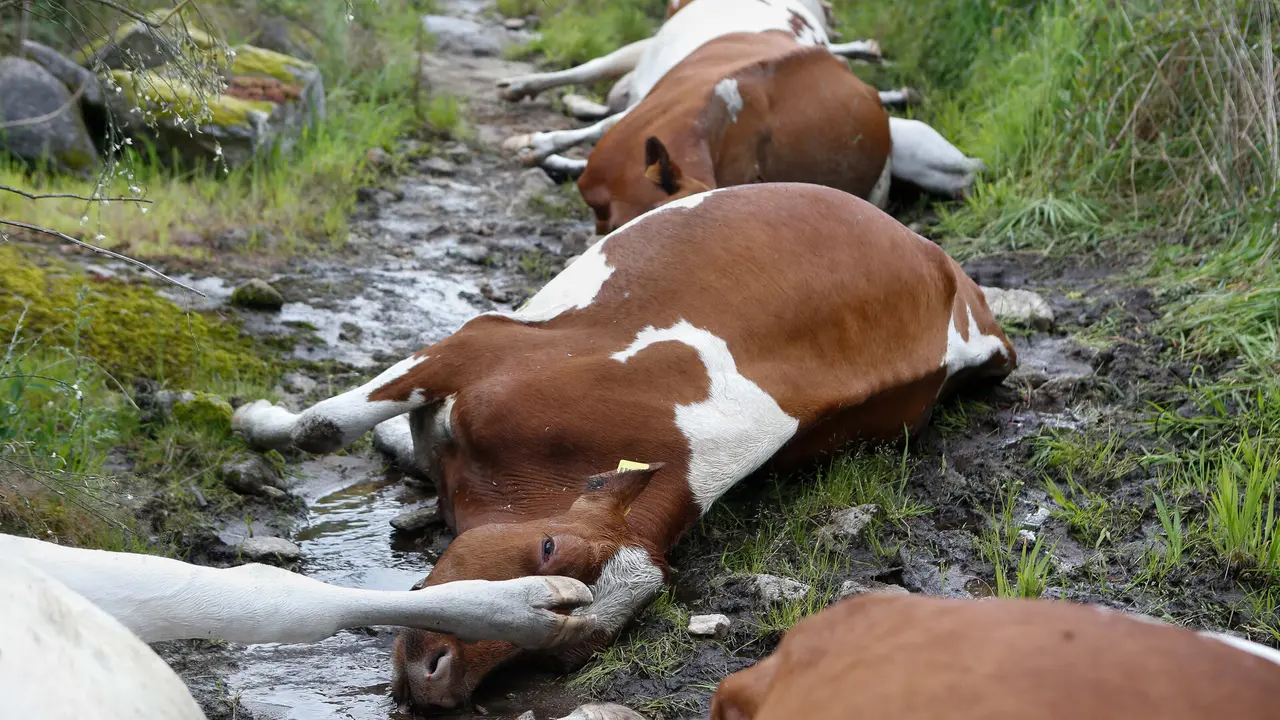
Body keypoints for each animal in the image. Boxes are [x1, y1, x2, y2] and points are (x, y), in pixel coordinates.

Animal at [230, 183, 1018, 712]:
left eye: (565, 657)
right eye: (549, 548)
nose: (438, 680)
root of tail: (959, 285)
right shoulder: (483, 342)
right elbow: (324, 425)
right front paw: (257, 418)